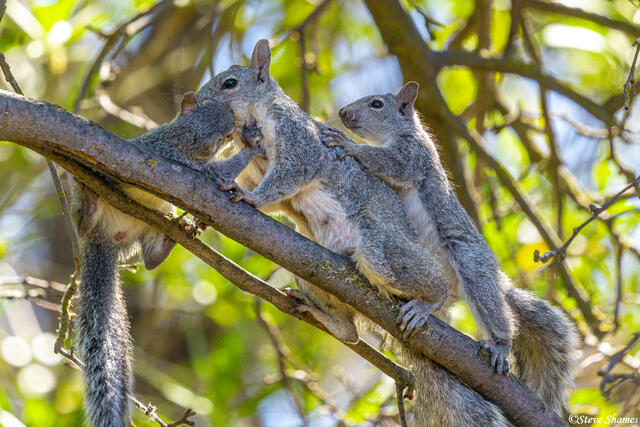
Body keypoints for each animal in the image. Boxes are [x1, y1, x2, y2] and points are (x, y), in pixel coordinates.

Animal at [71, 93, 261, 427]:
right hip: (91, 211)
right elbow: (221, 171)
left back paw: (174, 236)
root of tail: (104, 236)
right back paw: (90, 208)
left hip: (150, 224)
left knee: (149, 260)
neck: (184, 143)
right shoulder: (187, 164)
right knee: (84, 221)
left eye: (226, 134)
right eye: (207, 111)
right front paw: (252, 146)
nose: (230, 132)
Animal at [321, 81, 578, 420]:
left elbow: (392, 165)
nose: (342, 113)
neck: (398, 133)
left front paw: (348, 144)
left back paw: (498, 343)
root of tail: (498, 281)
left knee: (495, 310)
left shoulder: (414, 155)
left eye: (377, 103)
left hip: (470, 264)